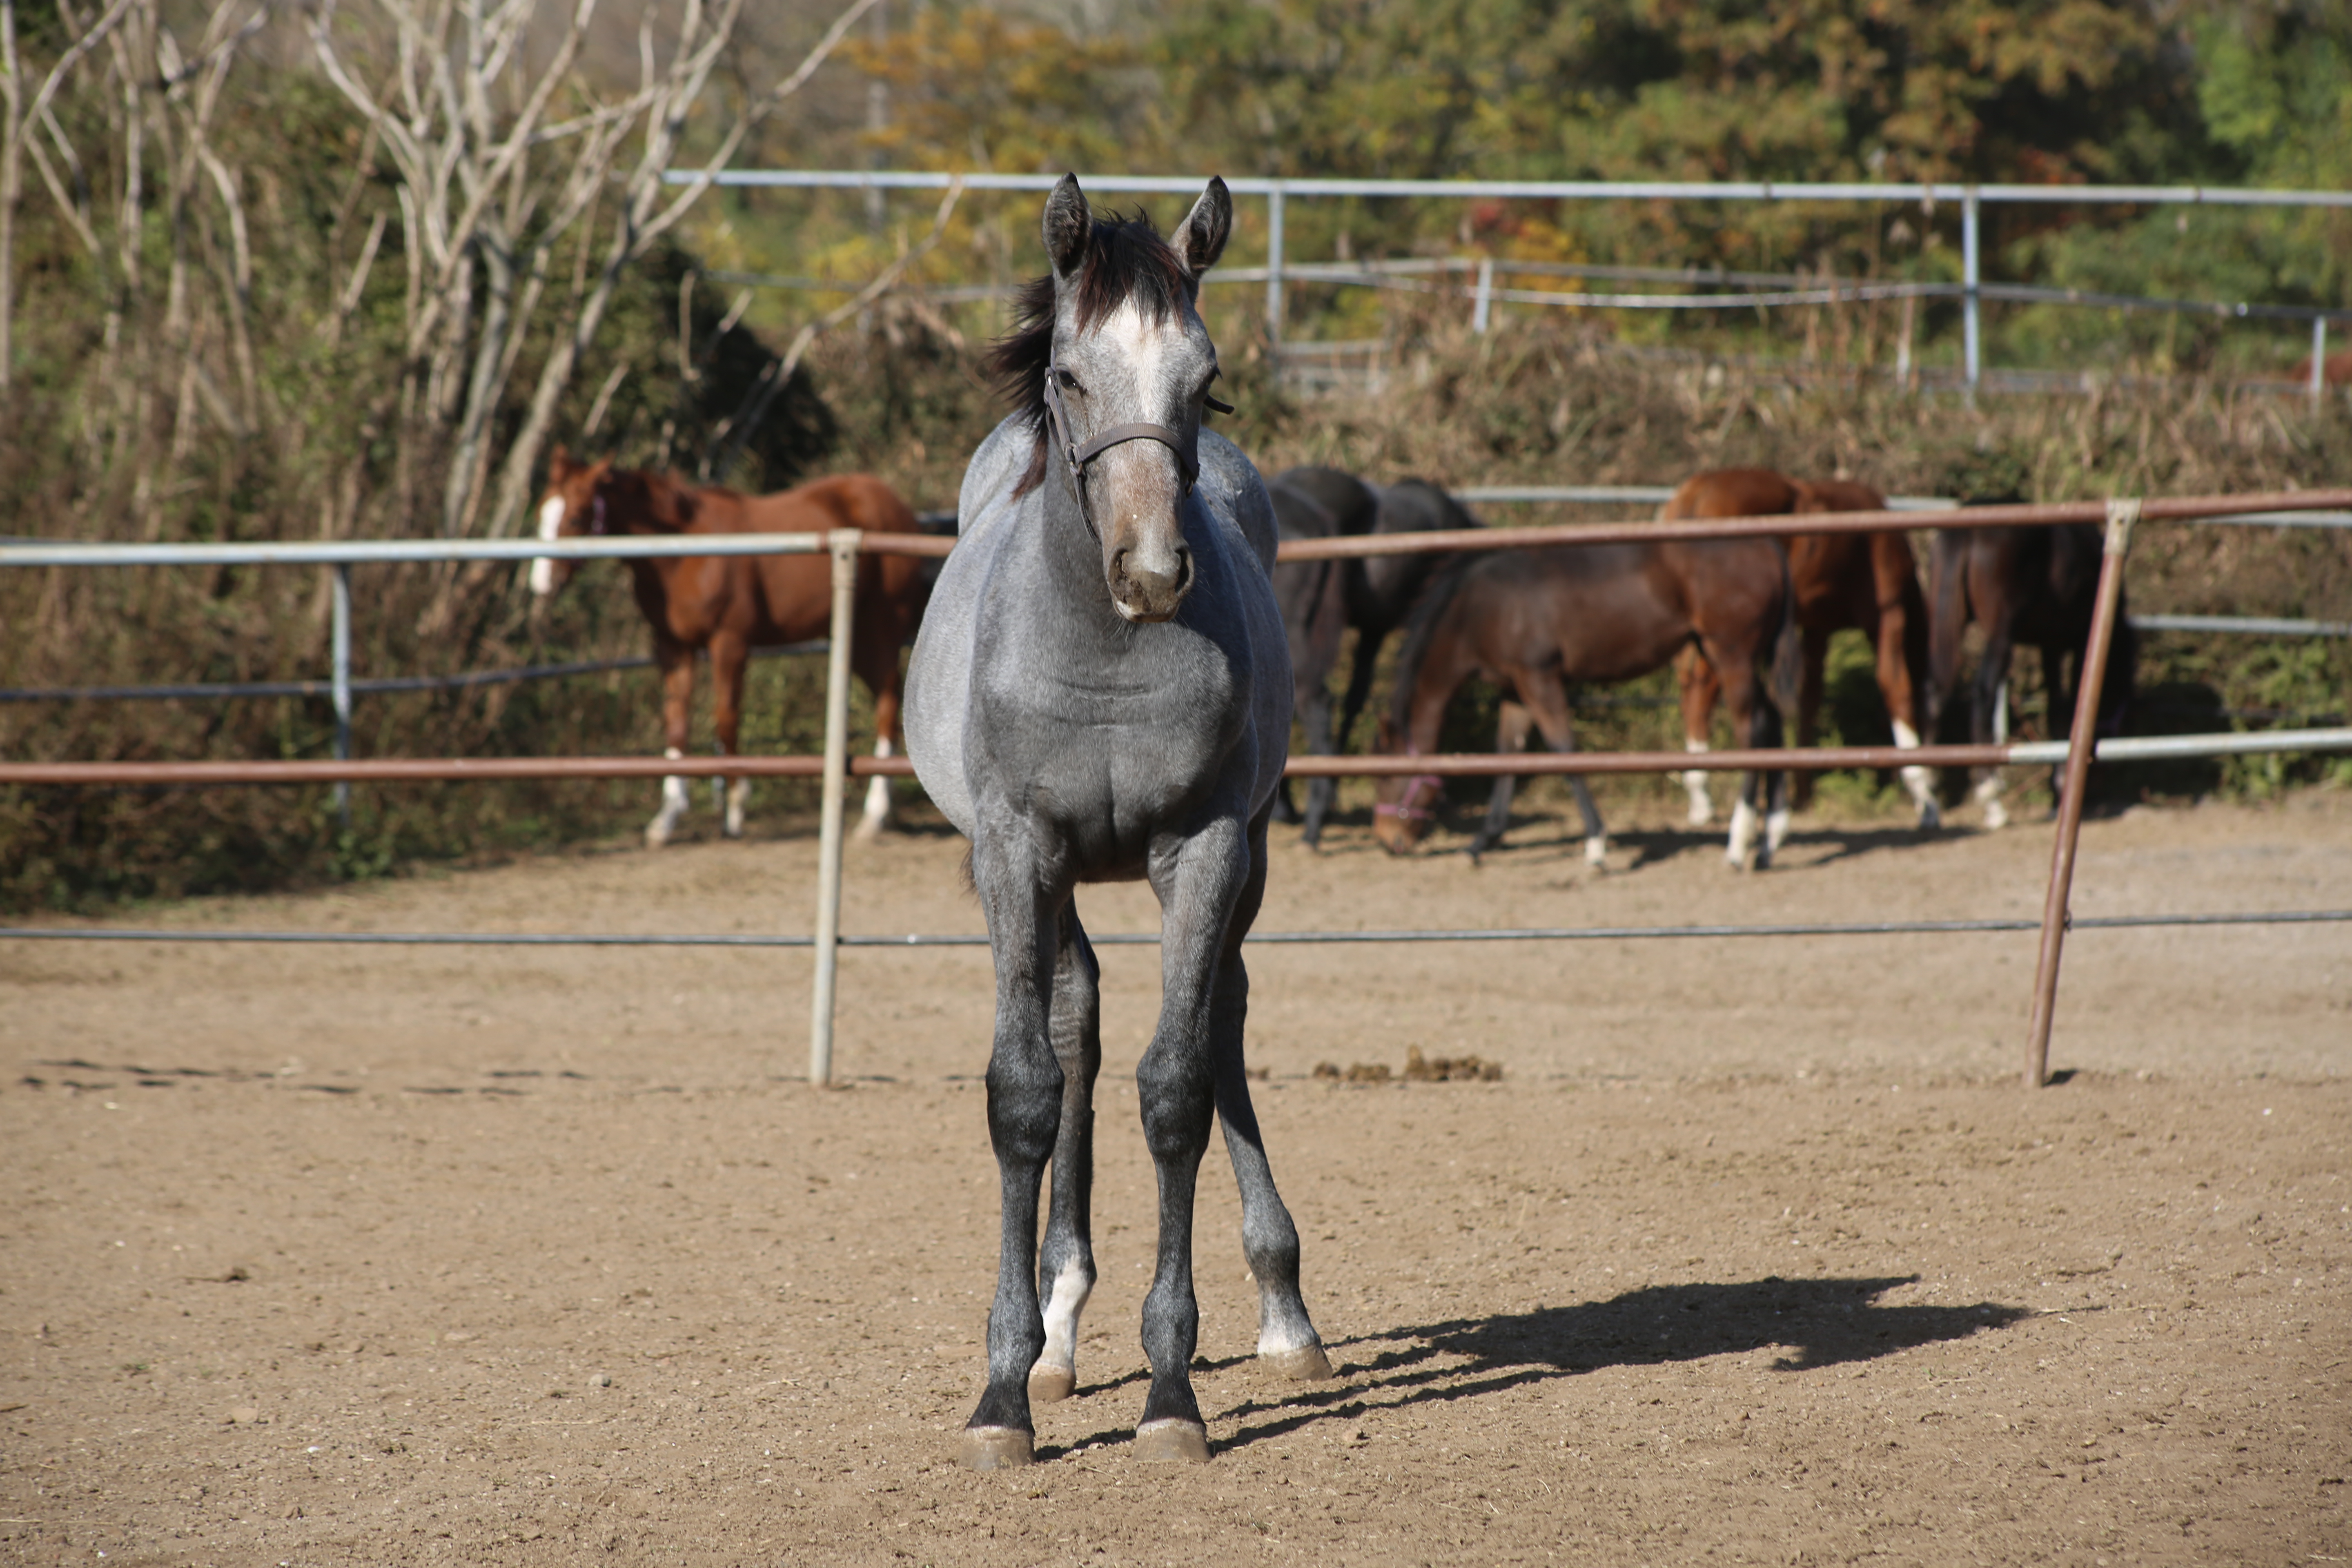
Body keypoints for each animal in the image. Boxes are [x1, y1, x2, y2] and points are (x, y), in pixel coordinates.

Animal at [531, 446, 927, 846]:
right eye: (542, 512)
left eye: (575, 517)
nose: (542, 585)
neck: (680, 553)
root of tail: (896, 505)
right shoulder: (674, 647)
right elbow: (677, 723)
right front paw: (667, 818)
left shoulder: (729, 643)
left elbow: (726, 719)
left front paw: (735, 808)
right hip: (857, 640)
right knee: (888, 700)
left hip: (879, 630)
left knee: (888, 706)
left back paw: (874, 815)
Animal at [908, 175, 1336, 1476]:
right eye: (1069, 373)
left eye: (1203, 375)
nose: (1150, 572)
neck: (1102, 648)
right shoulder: (1015, 852)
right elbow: (1023, 1091)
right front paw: (1002, 1392)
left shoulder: (1205, 850)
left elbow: (1177, 1088)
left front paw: (1171, 1389)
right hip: (1048, 884)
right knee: (1074, 1022)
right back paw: (1055, 1332)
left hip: (1238, 867)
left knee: (1219, 1022)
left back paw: (1285, 1313)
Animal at [1364, 533, 1797, 865]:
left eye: (1385, 777)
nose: (1387, 839)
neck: (1480, 606)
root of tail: (1766, 545)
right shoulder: (1514, 686)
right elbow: (1508, 753)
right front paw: (1482, 841)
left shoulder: (1539, 677)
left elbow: (1563, 749)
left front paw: (1596, 844)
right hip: (1725, 655)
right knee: (1773, 723)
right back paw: (1770, 841)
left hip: (1731, 655)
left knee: (1752, 732)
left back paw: (1739, 843)